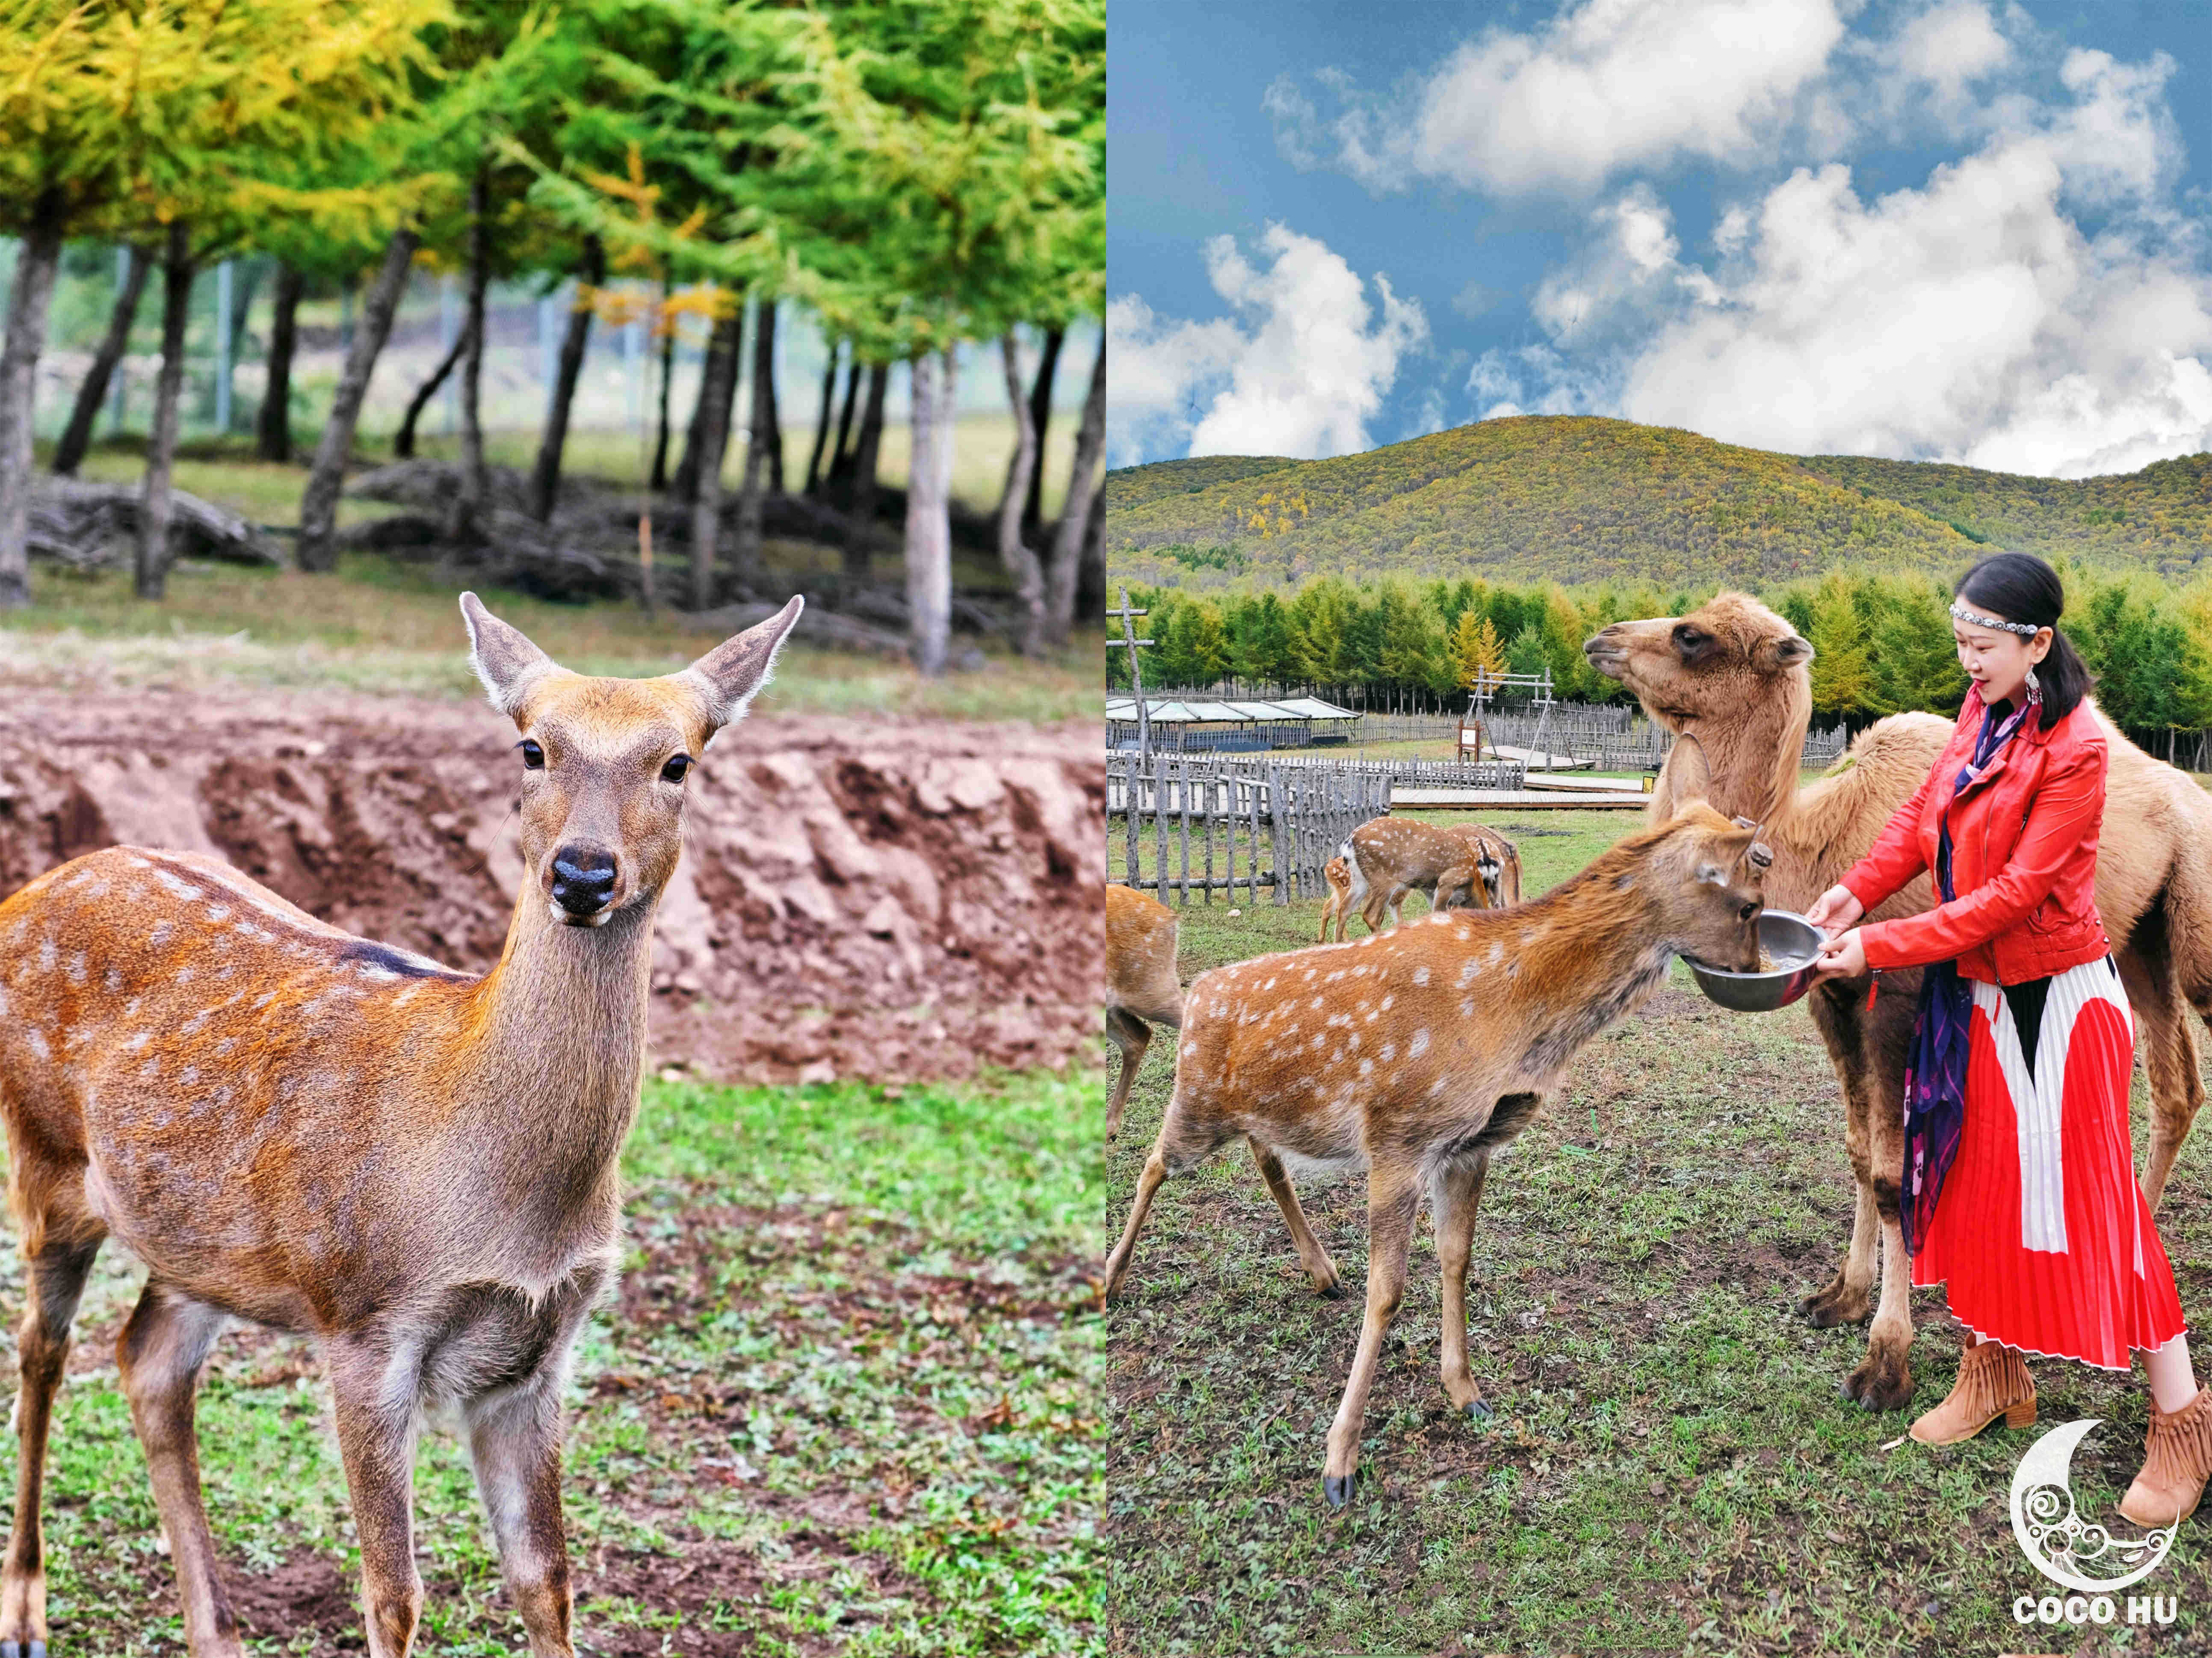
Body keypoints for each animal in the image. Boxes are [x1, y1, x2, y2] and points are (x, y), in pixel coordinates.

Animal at [0, 593, 805, 1655]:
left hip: (199, 1238)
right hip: (45, 1158)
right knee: (42, 1351)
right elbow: (393, 1592)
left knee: (149, 1362)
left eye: (678, 762)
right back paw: (26, 1609)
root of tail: (27, 892)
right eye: (532, 748)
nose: (583, 874)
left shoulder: (540, 1353)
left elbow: (548, 1582)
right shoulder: (364, 1321)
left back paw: (215, 1630)